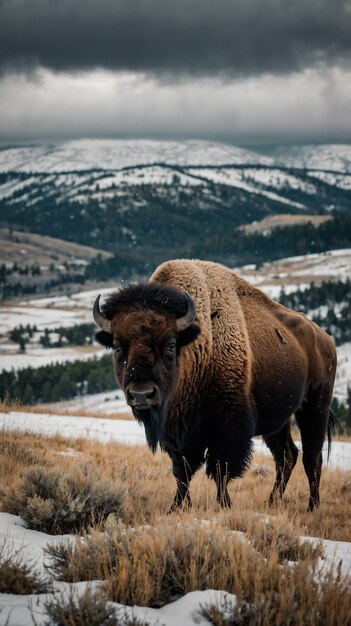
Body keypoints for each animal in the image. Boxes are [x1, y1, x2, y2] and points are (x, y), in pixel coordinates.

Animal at [93, 256, 338, 510]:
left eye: (170, 345)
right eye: (118, 346)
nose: (141, 394)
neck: (199, 345)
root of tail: (326, 339)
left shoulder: (228, 425)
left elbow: (221, 468)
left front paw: (224, 504)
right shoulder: (178, 433)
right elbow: (182, 471)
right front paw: (177, 506)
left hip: (315, 407)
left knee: (312, 458)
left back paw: (312, 507)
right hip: (279, 419)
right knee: (287, 455)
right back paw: (271, 502)